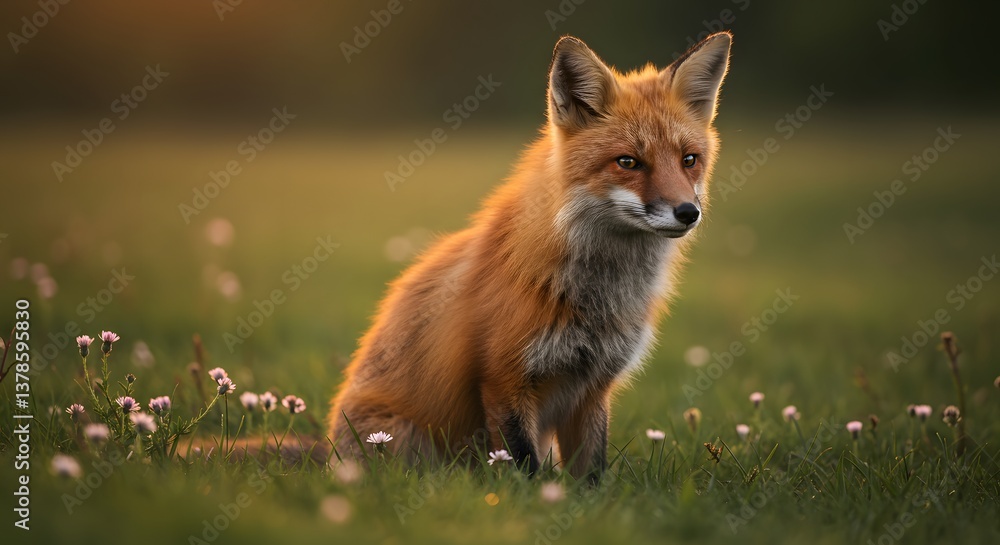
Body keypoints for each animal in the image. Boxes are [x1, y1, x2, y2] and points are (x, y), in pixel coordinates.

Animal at [329, 32, 732, 479]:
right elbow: (523, 467)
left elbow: (592, 472)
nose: (688, 212)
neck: (597, 294)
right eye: (628, 162)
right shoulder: (504, 379)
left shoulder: (593, 387)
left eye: (689, 160)